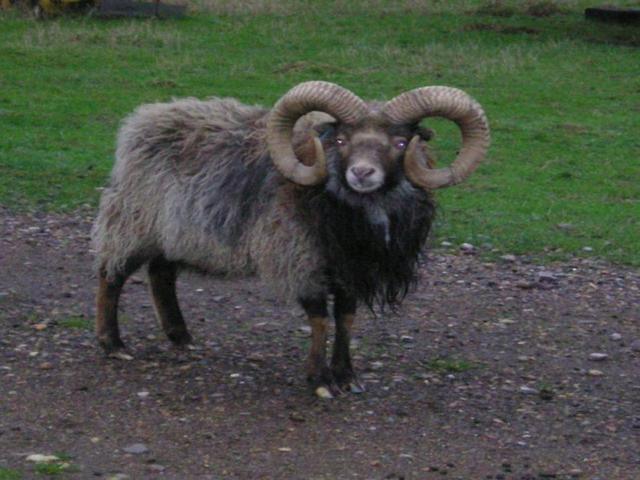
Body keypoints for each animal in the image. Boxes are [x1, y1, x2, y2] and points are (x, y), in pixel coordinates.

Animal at [92, 81, 490, 398]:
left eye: (401, 142)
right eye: (341, 140)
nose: (362, 172)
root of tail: (143, 118)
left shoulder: (350, 269)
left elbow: (346, 317)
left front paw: (347, 376)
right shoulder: (299, 257)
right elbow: (319, 318)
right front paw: (320, 380)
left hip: (177, 231)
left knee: (161, 274)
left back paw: (181, 337)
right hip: (134, 220)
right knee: (112, 274)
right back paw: (113, 344)